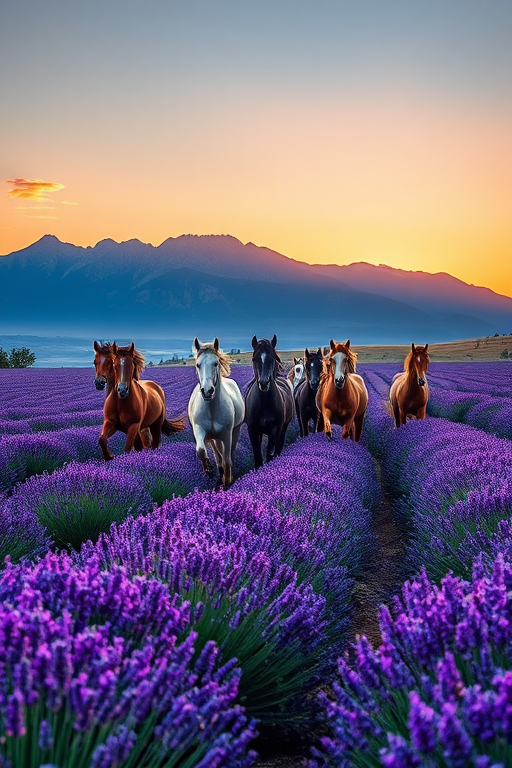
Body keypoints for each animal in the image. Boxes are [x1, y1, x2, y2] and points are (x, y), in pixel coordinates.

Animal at [188, 337, 245, 488]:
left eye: (215, 363)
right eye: (198, 364)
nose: (207, 391)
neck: (211, 408)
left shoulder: (227, 434)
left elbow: (227, 459)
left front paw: (227, 481)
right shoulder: (199, 429)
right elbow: (201, 451)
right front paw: (209, 469)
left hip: (234, 431)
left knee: (229, 453)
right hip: (212, 437)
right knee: (217, 453)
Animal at [244, 335, 294, 468]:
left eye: (272, 359)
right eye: (254, 359)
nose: (264, 383)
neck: (264, 403)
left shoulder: (276, 428)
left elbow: (270, 451)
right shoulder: (253, 430)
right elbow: (258, 458)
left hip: (284, 427)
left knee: (278, 447)